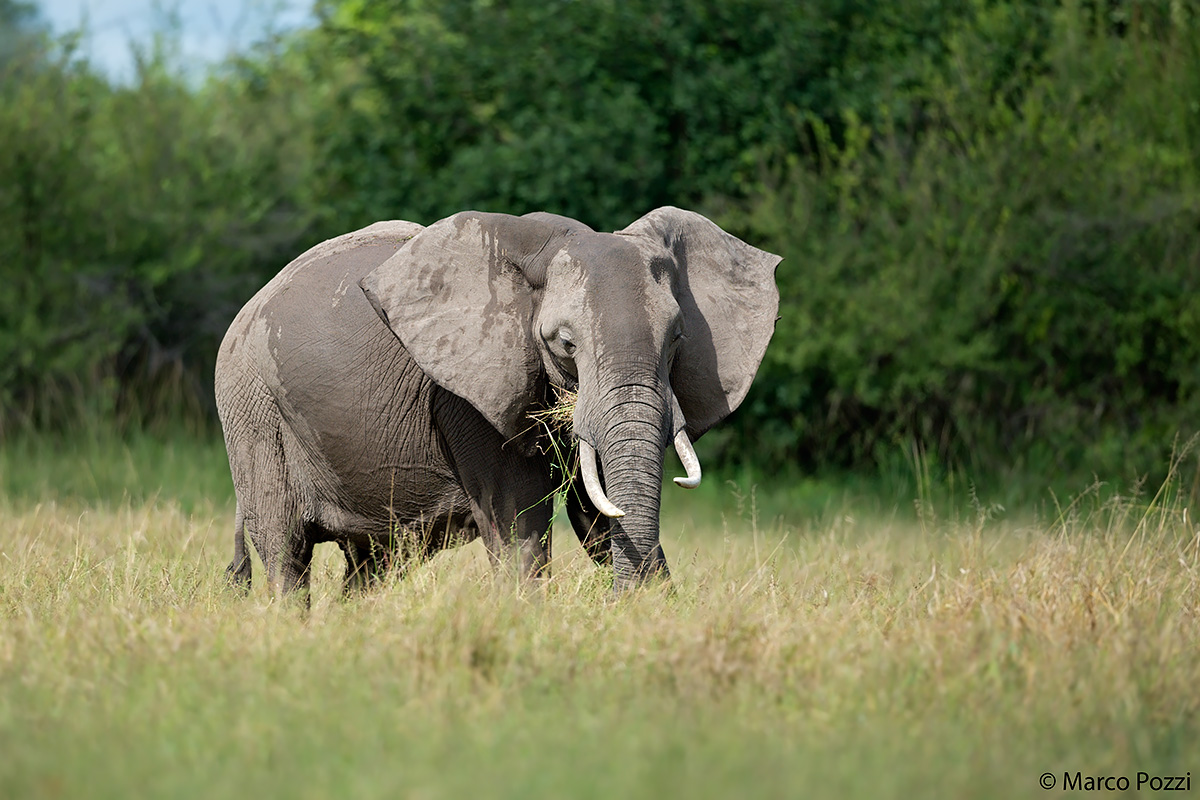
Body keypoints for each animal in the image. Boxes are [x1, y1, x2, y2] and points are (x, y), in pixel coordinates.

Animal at [214, 207, 780, 596]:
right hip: (252, 410)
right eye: (565, 344)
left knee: (372, 564)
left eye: (678, 339)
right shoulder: (466, 396)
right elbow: (518, 525)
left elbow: (594, 515)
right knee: (285, 552)